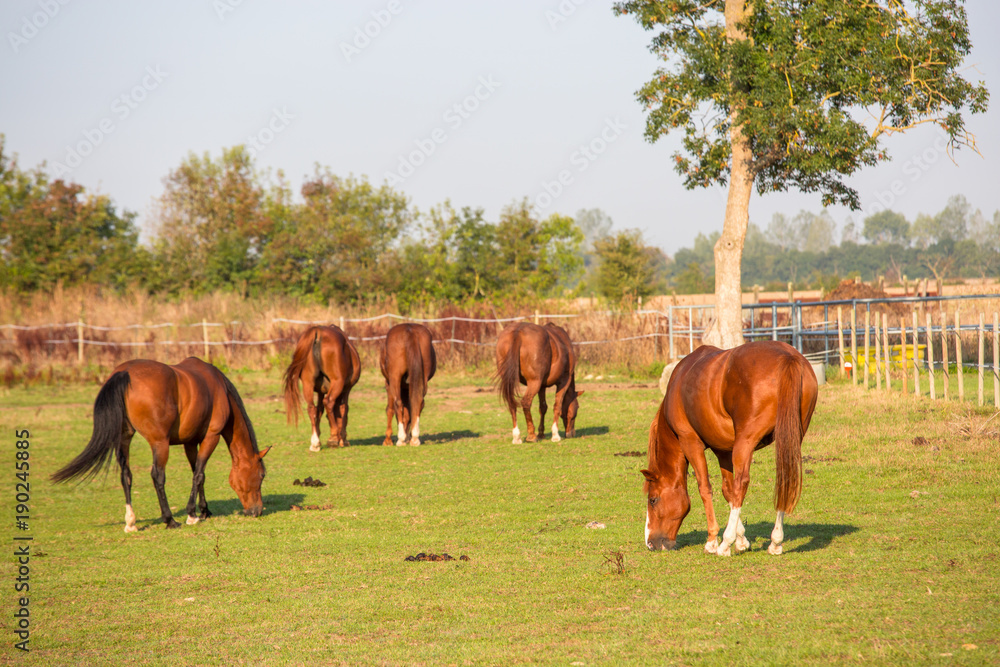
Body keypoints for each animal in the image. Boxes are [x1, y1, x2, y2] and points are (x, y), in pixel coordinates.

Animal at [51, 357, 270, 532]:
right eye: (261, 475)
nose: (257, 510)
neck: (218, 388)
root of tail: (124, 372)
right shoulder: (211, 437)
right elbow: (199, 474)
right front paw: (192, 514)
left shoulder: (190, 442)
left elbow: (197, 473)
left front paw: (204, 510)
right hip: (160, 444)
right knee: (158, 476)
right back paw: (170, 520)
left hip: (124, 438)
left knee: (126, 475)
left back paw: (131, 522)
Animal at [642, 341, 817, 556]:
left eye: (653, 500)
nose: (650, 543)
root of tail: (788, 357)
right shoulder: (723, 450)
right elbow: (729, 491)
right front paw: (741, 540)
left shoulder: (691, 442)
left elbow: (706, 488)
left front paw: (713, 540)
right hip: (789, 438)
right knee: (784, 480)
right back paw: (775, 542)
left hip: (745, 443)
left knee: (742, 483)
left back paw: (725, 543)